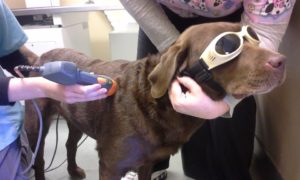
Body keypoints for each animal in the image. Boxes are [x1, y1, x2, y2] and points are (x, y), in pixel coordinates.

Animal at [24, 21, 288, 179]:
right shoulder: (110, 164)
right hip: (36, 124)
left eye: (253, 37)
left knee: (69, 144)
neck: (159, 105)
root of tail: (39, 59)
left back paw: (73, 170)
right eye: (228, 46)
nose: (282, 60)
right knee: (37, 157)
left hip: (75, 119)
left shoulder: (146, 163)